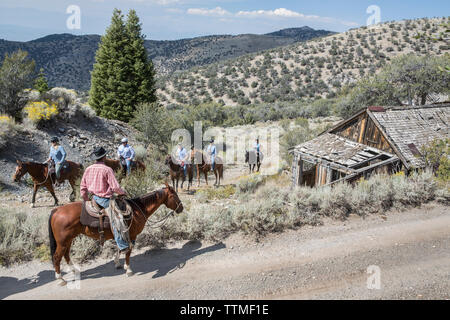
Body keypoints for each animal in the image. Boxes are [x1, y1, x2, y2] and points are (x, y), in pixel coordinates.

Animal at [48, 184, 183, 286]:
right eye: (174, 195)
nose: (181, 208)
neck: (137, 210)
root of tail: (56, 210)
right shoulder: (131, 235)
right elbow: (128, 250)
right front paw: (128, 269)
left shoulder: (122, 233)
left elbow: (119, 248)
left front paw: (117, 263)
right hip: (63, 241)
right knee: (57, 257)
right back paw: (60, 279)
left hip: (68, 240)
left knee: (66, 254)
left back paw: (74, 270)